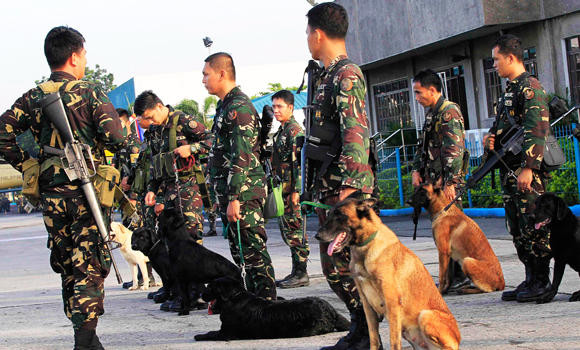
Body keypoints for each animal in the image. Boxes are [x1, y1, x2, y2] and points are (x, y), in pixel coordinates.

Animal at [194, 276, 348, 340]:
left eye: (210, 287)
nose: (201, 294)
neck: (234, 297)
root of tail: (331, 310)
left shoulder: (226, 333)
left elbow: (210, 333)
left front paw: (199, 336)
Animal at [314, 198, 460, 348]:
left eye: (340, 215)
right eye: (330, 214)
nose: (317, 236)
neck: (365, 248)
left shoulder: (392, 304)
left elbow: (394, 342)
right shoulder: (367, 306)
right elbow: (373, 338)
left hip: (425, 315)